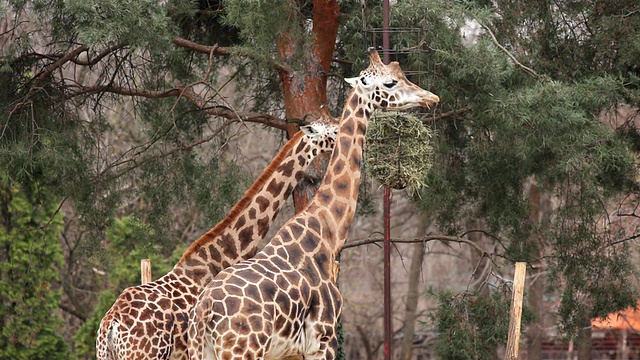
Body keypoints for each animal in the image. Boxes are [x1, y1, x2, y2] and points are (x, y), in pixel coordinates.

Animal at [186, 49, 440, 360]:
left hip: (201, 351)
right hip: (242, 351)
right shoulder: (324, 339)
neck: (329, 231)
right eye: (391, 82)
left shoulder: (291, 351)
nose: (431, 97)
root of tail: (204, 311)